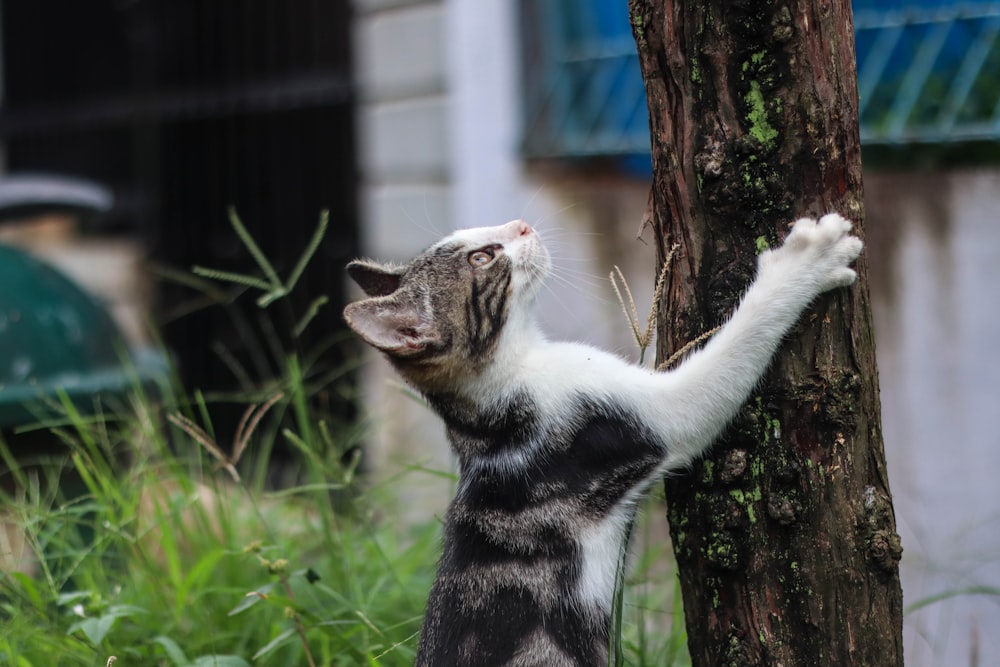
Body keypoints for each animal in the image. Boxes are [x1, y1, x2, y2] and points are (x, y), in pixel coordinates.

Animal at [342, 214, 860, 667]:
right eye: (482, 258)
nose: (522, 225)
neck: (488, 415)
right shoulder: (625, 416)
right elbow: (727, 356)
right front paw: (809, 258)